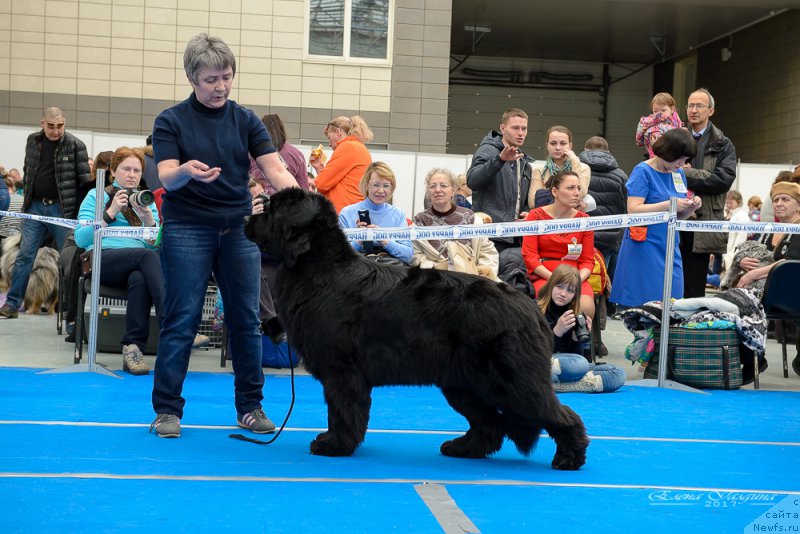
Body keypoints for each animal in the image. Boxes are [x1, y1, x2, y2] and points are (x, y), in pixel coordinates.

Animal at [244, 191, 588, 472]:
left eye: (272, 209)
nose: (247, 217)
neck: (320, 269)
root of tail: (531, 308)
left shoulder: (342, 372)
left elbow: (343, 409)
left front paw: (334, 445)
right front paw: (335, 441)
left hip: (511, 379)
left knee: (557, 413)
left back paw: (569, 457)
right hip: (464, 383)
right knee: (489, 423)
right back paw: (463, 448)